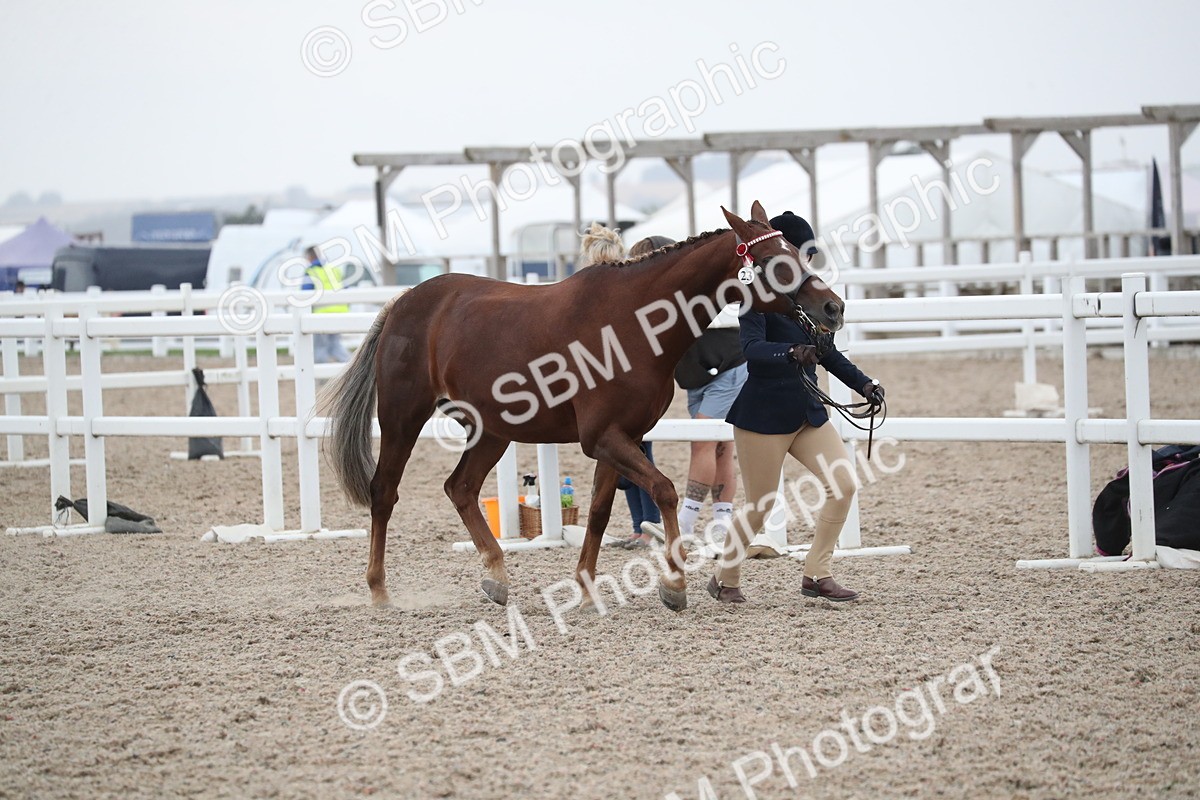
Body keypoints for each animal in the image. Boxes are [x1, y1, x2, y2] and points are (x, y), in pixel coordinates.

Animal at [318, 202, 846, 611]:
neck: (631, 323)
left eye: (797, 252)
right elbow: (665, 490)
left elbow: (598, 510)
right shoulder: (602, 438)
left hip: (493, 431)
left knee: (460, 488)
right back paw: (379, 591)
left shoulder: (622, 437)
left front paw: (587, 588)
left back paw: (496, 577)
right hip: (403, 418)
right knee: (384, 492)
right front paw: (673, 584)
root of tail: (404, 301)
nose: (833, 308)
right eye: (774, 260)